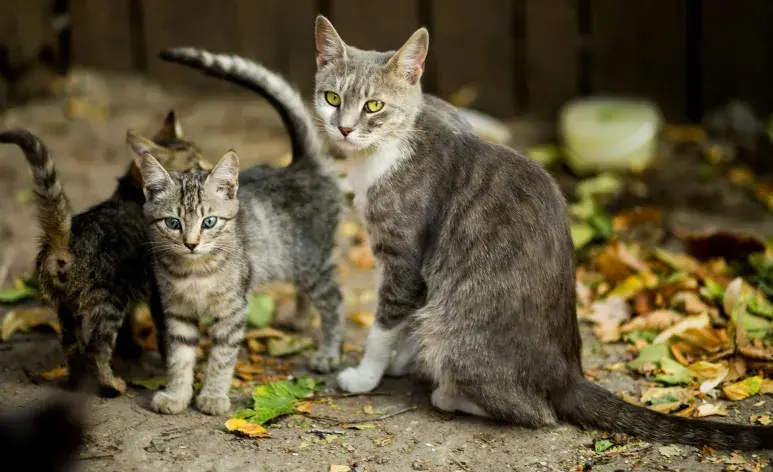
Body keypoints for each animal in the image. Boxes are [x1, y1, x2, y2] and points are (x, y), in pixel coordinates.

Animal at [0, 112, 210, 396]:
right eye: (196, 166)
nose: (212, 167)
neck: (131, 195)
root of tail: (66, 239)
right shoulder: (159, 292)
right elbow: (168, 337)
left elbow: (131, 324)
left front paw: (129, 348)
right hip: (108, 299)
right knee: (97, 347)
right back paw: (110, 384)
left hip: (66, 306)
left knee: (72, 346)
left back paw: (75, 382)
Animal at [131, 49, 342, 414]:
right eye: (173, 223)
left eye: (209, 222)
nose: (191, 244)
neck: (195, 271)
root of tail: (301, 165)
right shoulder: (177, 312)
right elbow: (179, 358)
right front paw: (176, 394)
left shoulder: (233, 309)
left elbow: (221, 356)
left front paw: (213, 395)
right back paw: (300, 320)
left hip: (312, 263)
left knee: (334, 300)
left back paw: (328, 353)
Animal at [312, 15, 772, 450]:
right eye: (332, 98)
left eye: (374, 105)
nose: (344, 129)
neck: (386, 149)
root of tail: (568, 375)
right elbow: (407, 316)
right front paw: (401, 358)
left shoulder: (404, 255)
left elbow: (386, 320)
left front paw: (366, 374)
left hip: (456, 334)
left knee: (535, 412)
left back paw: (448, 393)